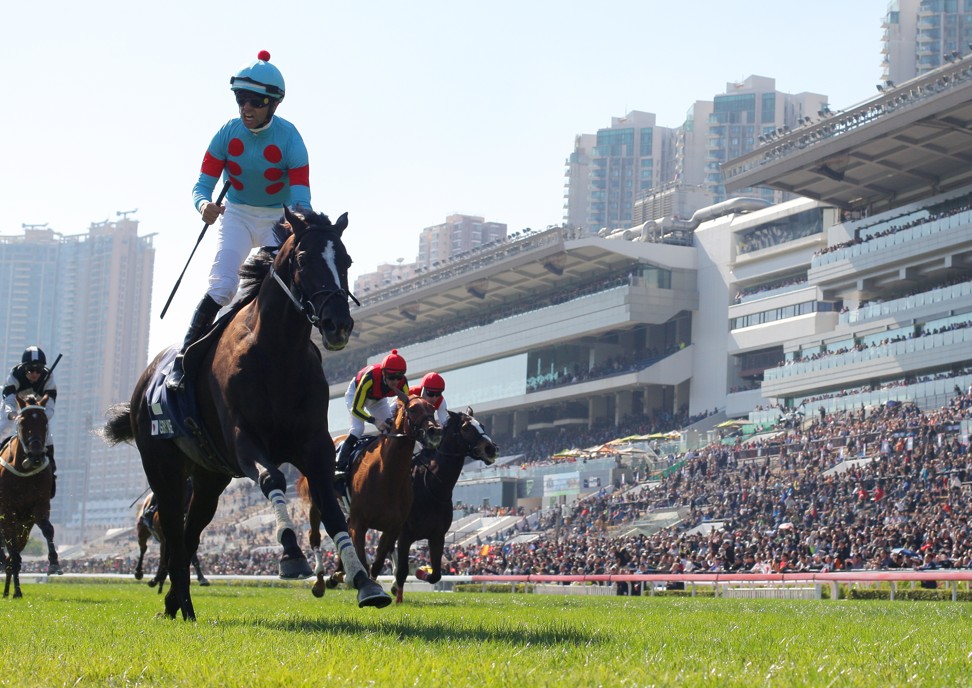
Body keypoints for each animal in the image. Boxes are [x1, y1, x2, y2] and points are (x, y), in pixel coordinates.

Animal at [98, 207, 388, 620]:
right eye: (303, 260)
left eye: (346, 261)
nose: (338, 325)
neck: (277, 354)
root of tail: (145, 379)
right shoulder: (243, 440)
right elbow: (271, 478)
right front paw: (292, 554)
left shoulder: (314, 445)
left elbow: (331, 508)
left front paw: (364, 581)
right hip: (163, 469)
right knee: (173, 532)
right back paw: (176, 602)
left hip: (209, 477)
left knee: (189, 535)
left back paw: (179, 604)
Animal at [392, 408, 498, 600]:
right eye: (466, 428)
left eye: (482, 425)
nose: (491, 449)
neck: (431, 487)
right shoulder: (405, 534)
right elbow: (402, 571)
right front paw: (398, 599)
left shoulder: (437, 536)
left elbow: (436, 575)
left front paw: (420, 572)